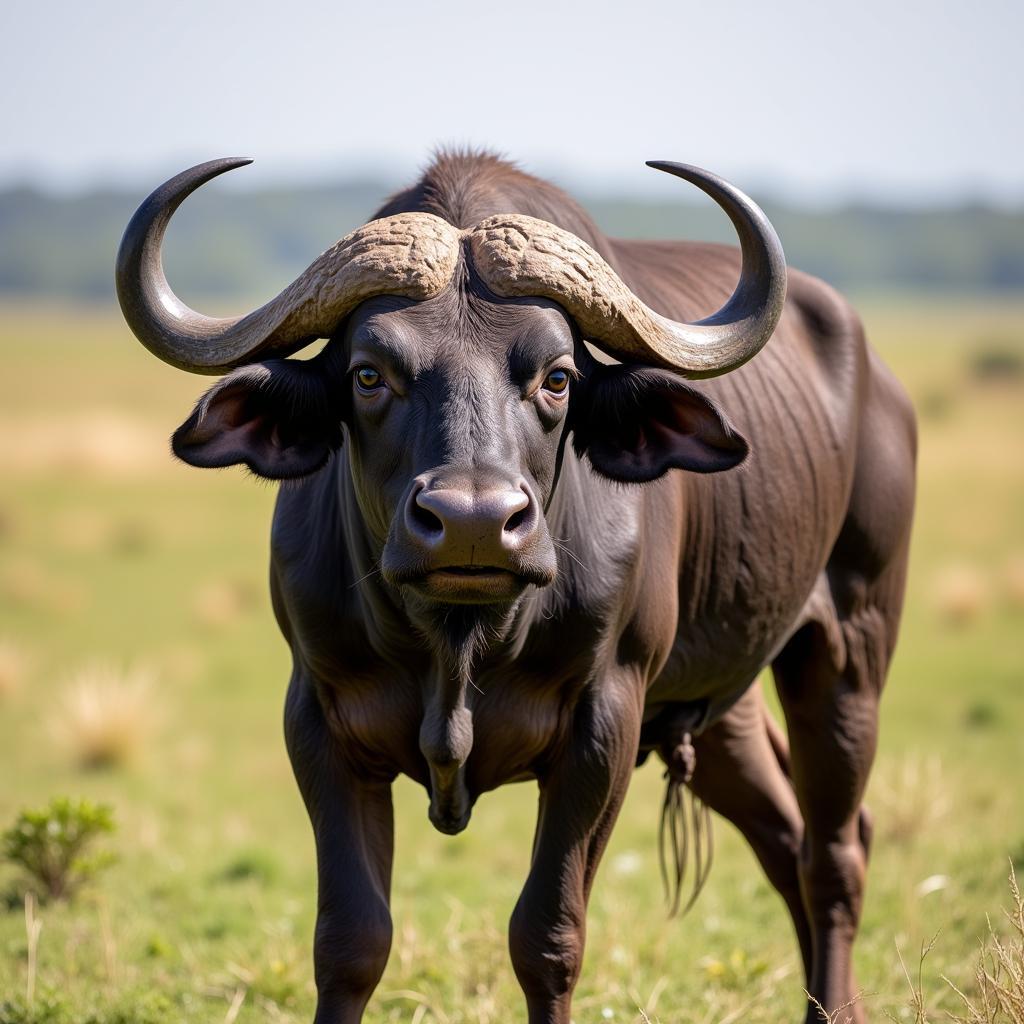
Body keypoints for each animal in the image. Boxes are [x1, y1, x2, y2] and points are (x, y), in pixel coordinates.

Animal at [116, 153, 917, 1024]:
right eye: (368, 374)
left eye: (557, 378)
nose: (473, 522)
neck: (457, 641)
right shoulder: (319, 719)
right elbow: (350, 939)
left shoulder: (604, 724)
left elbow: (548, 936)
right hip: (718, 705)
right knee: (786, 837)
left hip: (850, 650)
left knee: (835, 849)